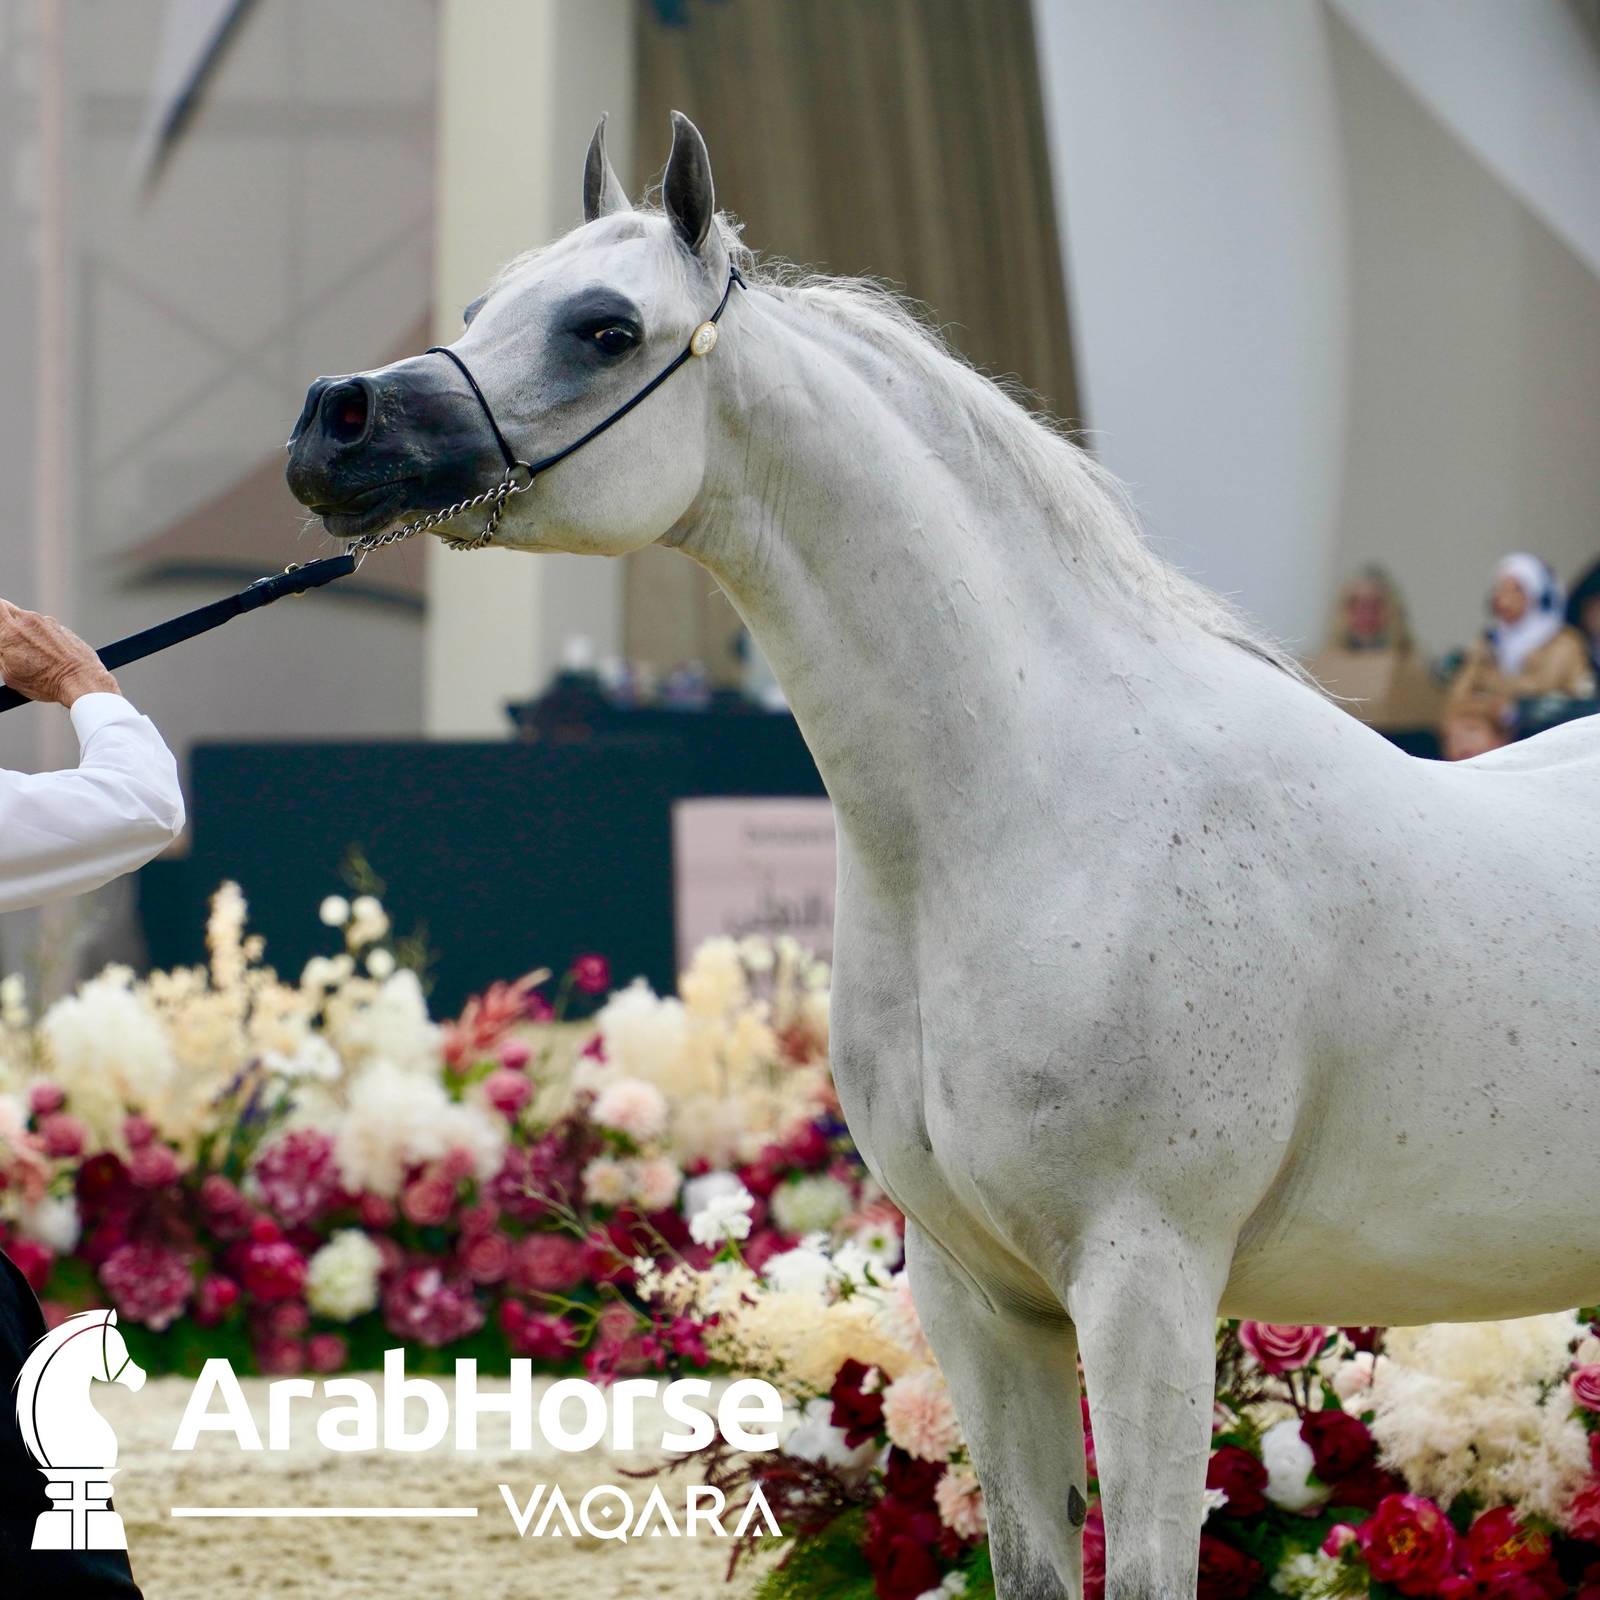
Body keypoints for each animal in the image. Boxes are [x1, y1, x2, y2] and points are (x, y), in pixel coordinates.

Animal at [286, 113, 1600, 1599]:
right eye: (478, 307)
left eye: (605, 327)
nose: (334, 418)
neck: (1039, 813)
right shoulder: (980, 1299)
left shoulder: (1145, 1285)